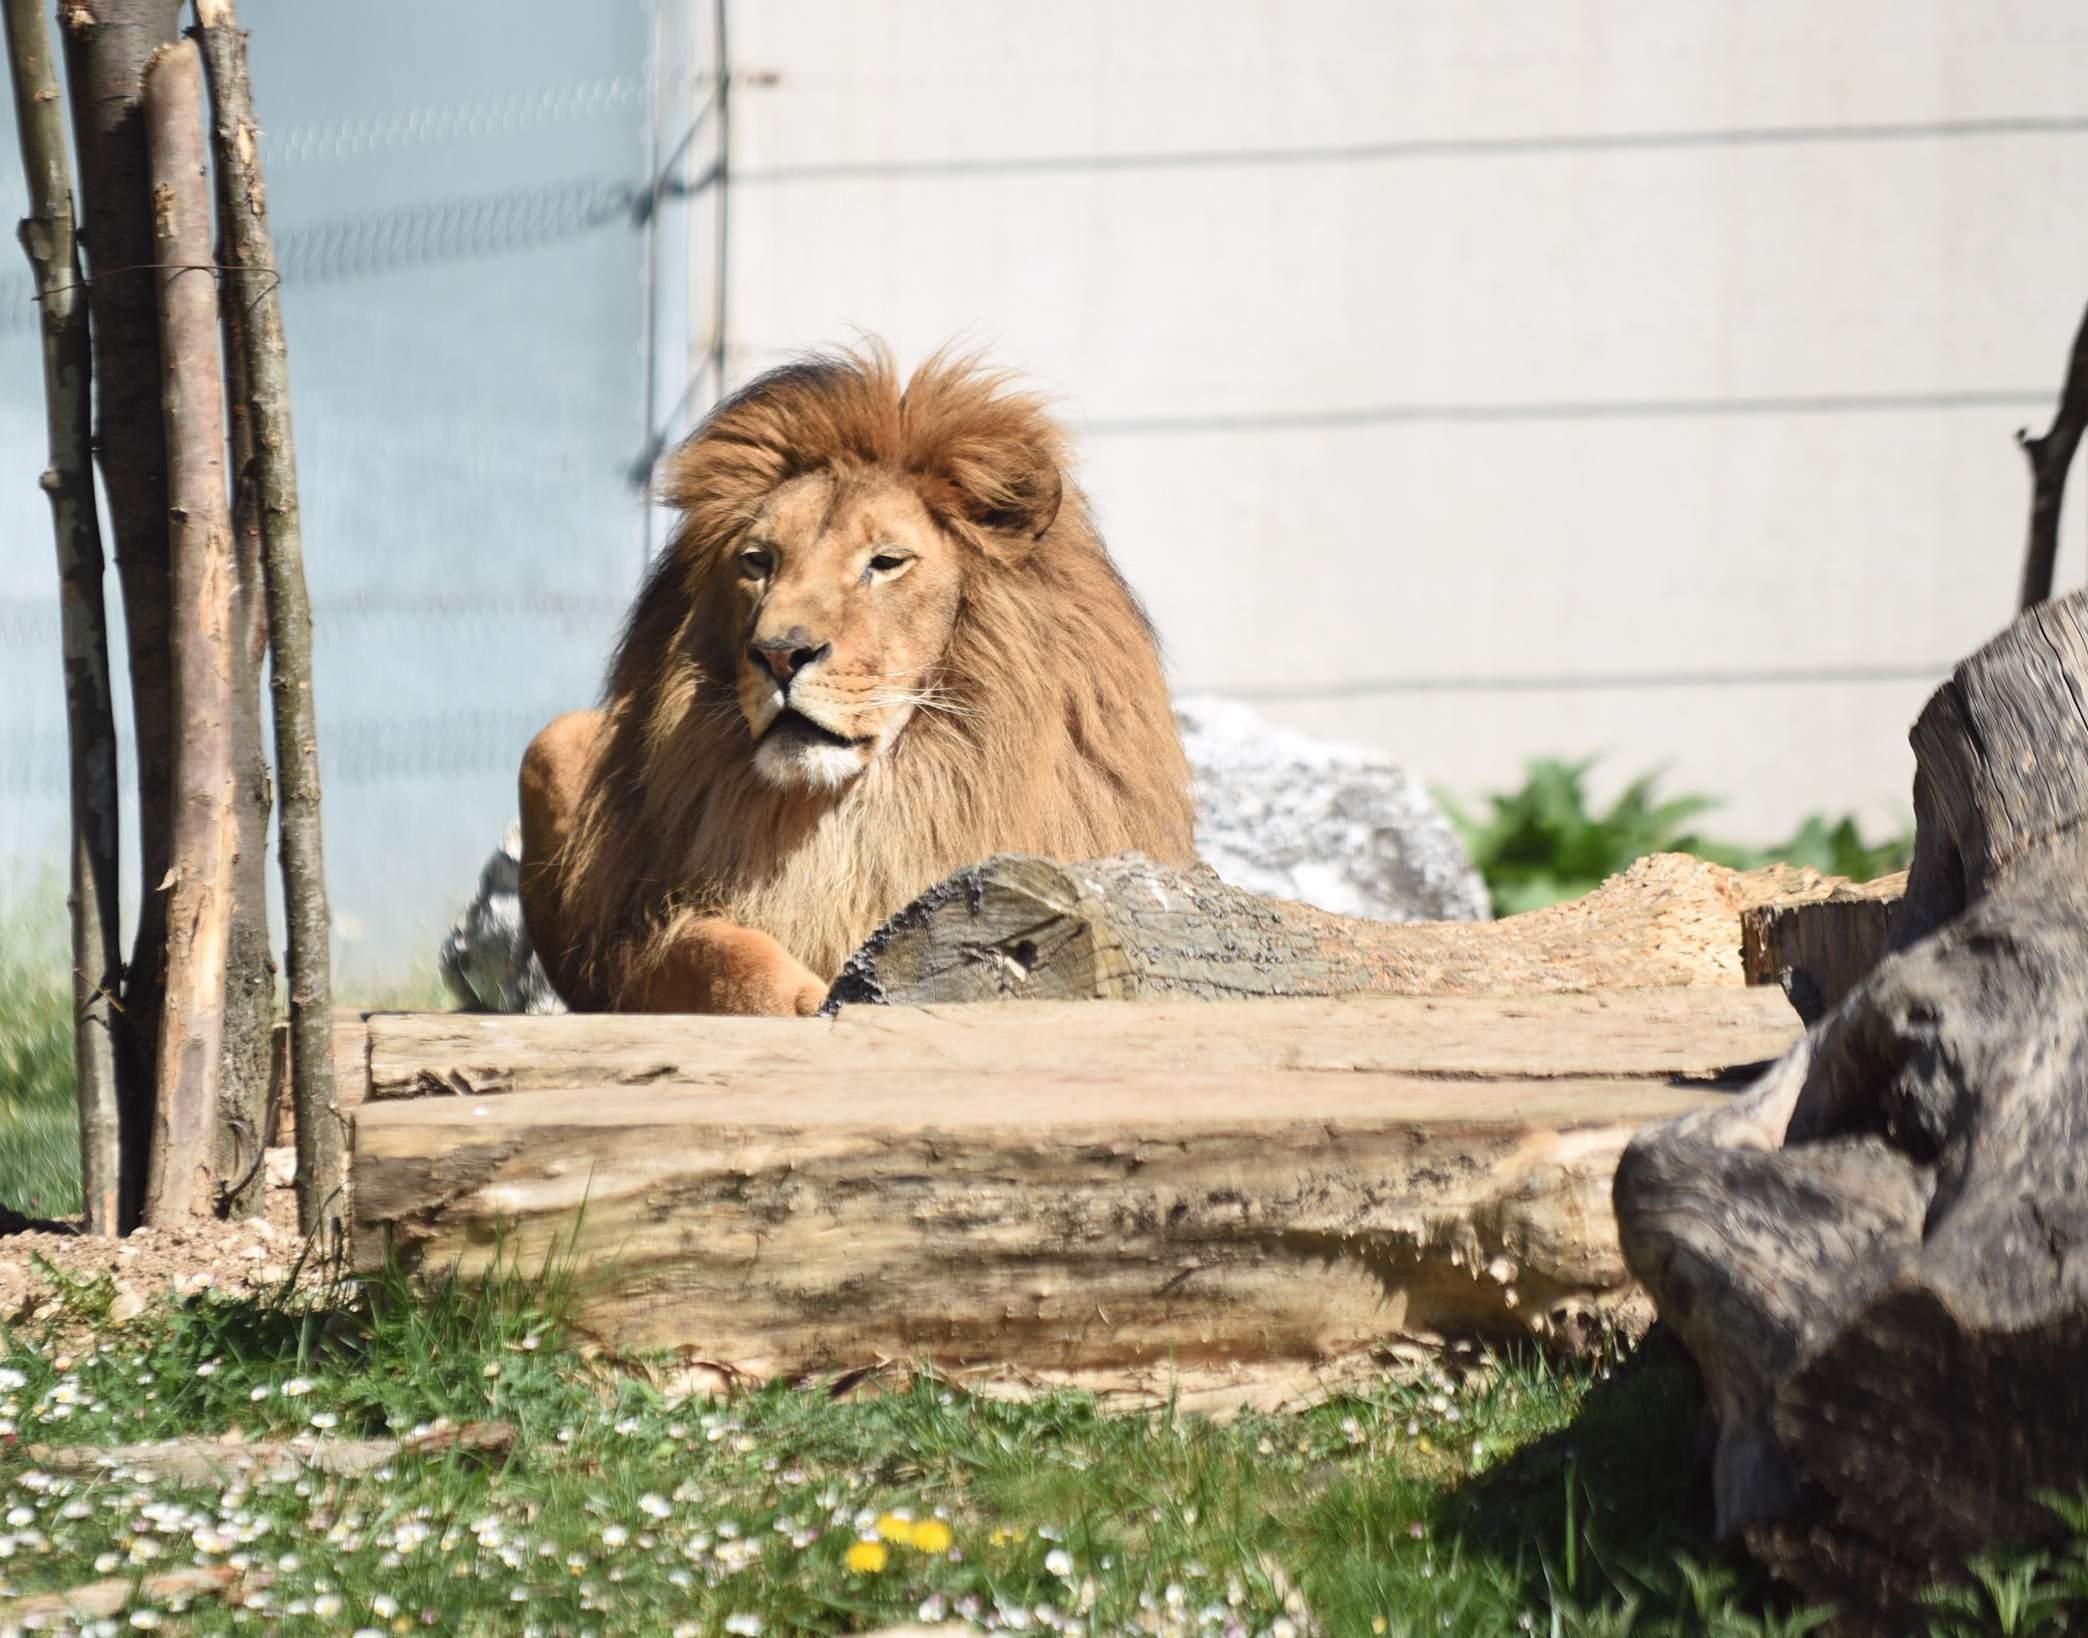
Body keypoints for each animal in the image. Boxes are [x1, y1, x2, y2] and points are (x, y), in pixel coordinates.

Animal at [515, 344, 1202, 1011]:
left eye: (887, 562)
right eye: (758, 562)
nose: (780, 654)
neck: (852, 817)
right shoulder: (629, 954)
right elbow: (709, 953)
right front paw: (805, 997)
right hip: (553, 740)